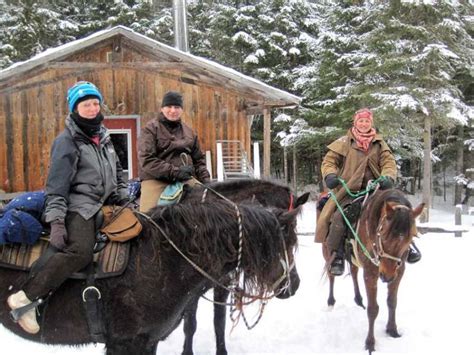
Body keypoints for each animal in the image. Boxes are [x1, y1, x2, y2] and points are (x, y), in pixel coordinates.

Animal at [180, 181, 310, 355]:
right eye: (288, 229)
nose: (293, 285)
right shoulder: (189, 294)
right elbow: (190, 325)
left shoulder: (223, 286)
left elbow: (219, 322)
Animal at [322, 189, 422, 354]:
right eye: (384, 234)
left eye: (410, 237)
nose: (387, 275)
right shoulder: (371, 273)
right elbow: (373, 309)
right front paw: (370, 343)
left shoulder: (399, 271)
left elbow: (392, 302)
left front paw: (392, 330)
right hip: (328, 252)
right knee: (331, 275)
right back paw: (330, 302)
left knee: (354, 272)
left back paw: (358, 300)